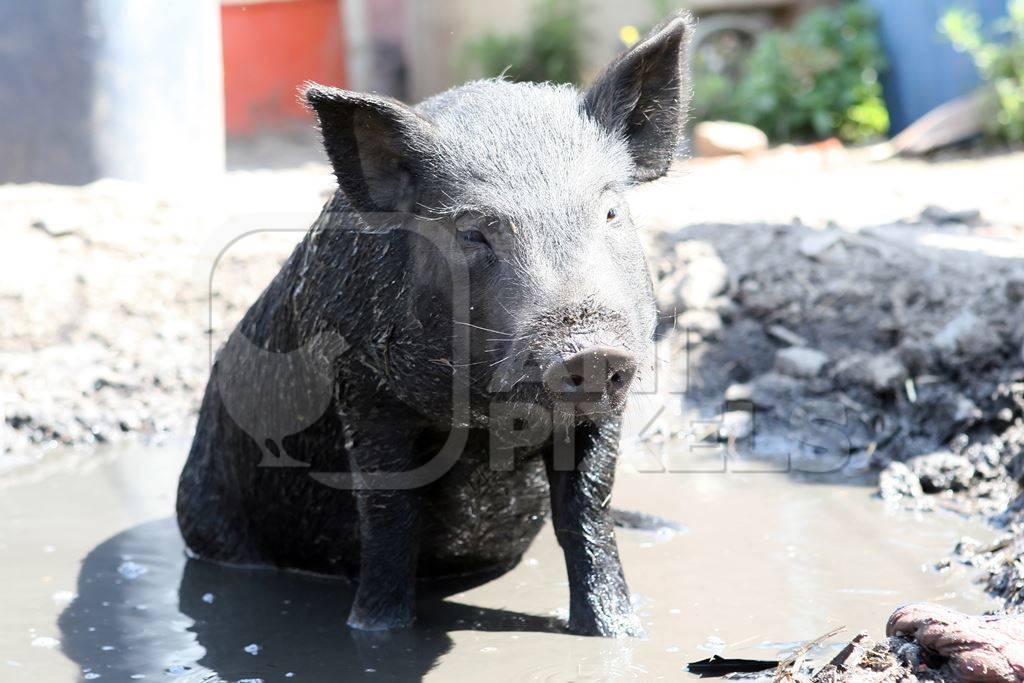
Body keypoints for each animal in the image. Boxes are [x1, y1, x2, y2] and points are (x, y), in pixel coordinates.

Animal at [178, 12, 696, 643]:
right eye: (473, 231)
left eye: (611, 211)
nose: (588, 350)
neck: (484, 425)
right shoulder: (362, 386)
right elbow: (388, 513)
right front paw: (375, 635)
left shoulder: (605, 411)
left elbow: (588, 510)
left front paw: (619, 635)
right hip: (206, 513)